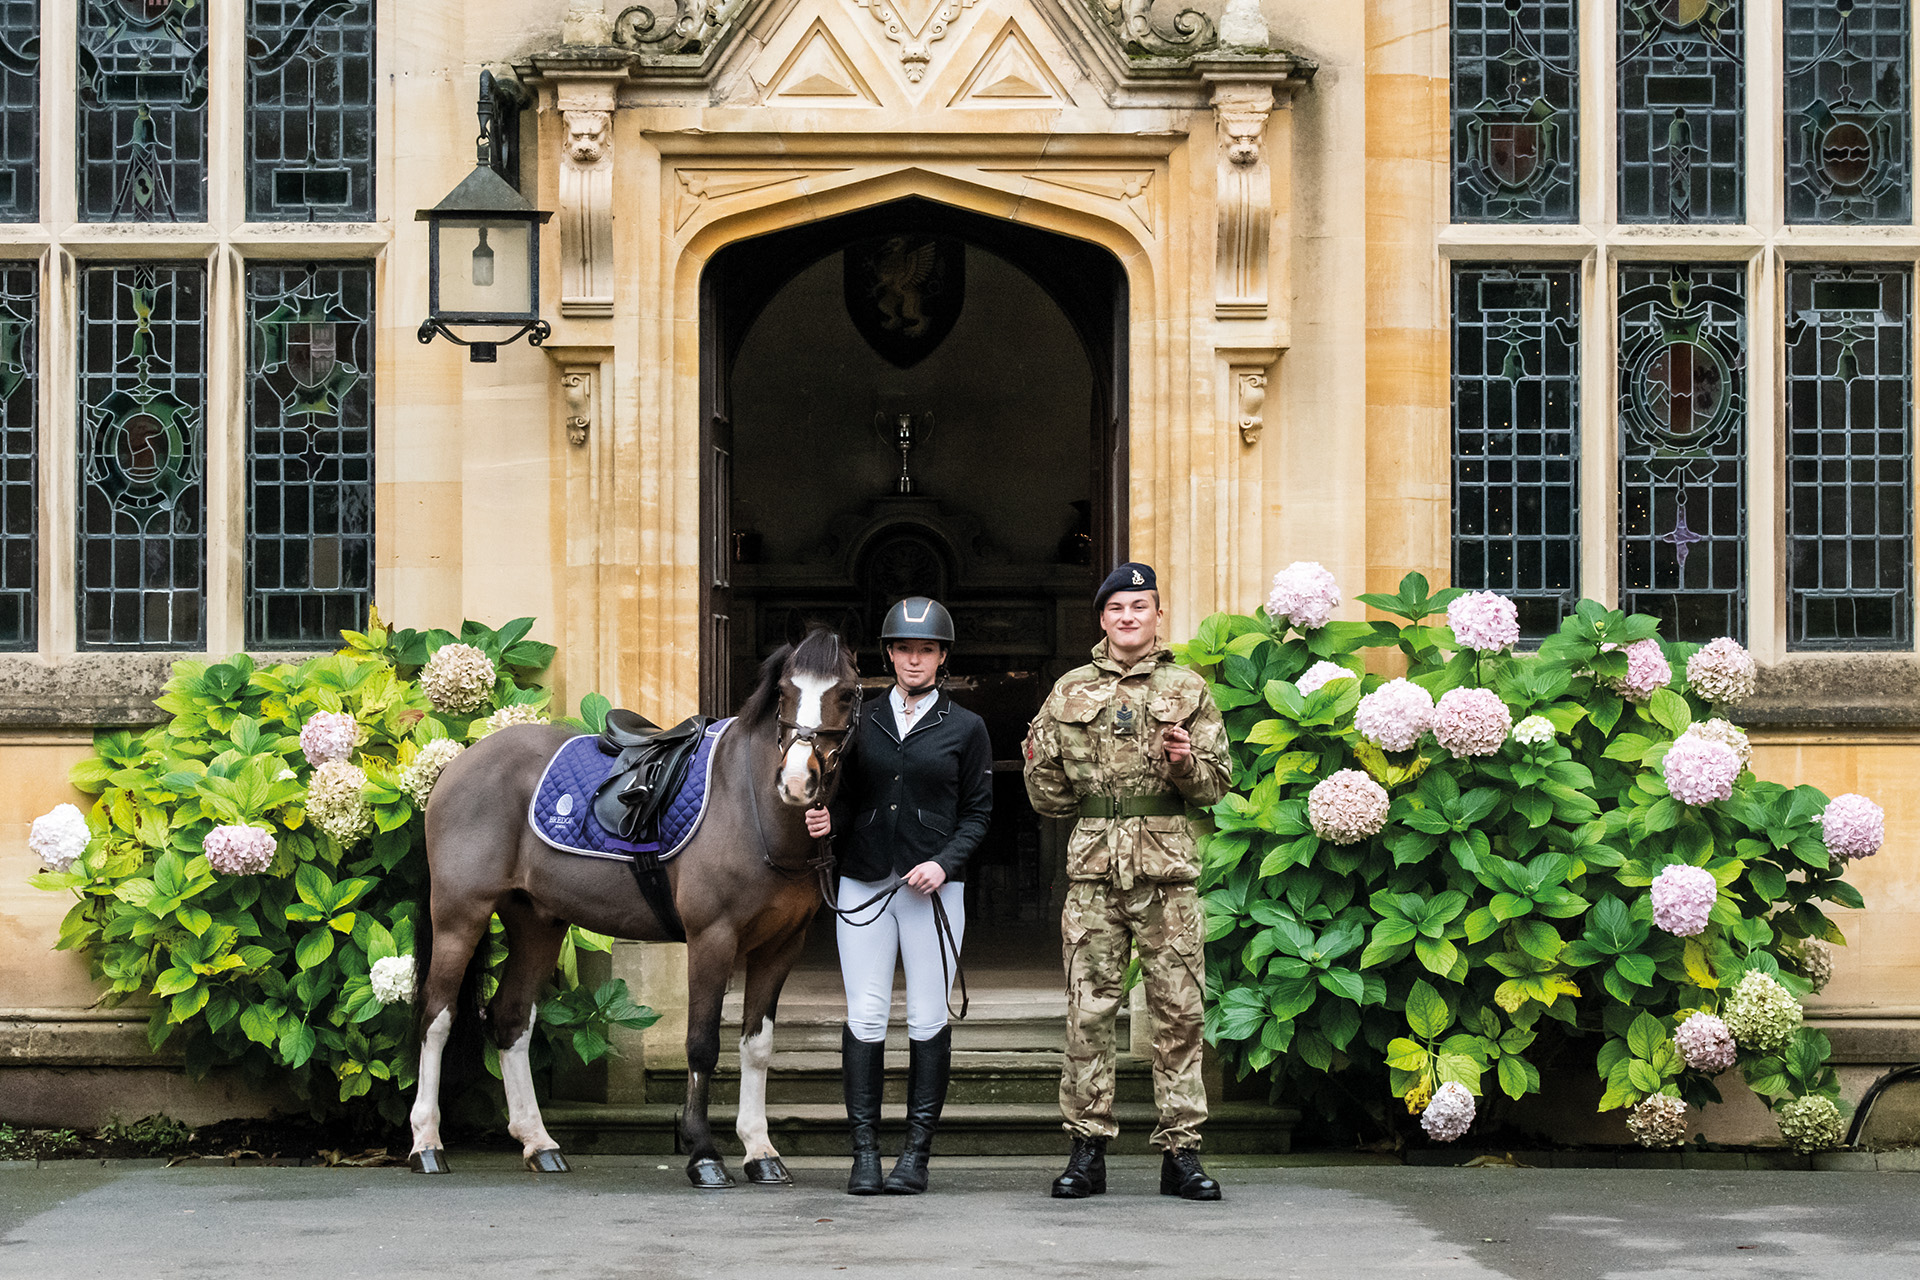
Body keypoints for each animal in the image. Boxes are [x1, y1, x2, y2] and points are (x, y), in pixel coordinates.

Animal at [412, 629, 864, 1189]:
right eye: (783, 691)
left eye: (845, 693)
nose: (798, 781)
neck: (750, 806)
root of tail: (455, 763)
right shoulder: (712, 938)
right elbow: (702, 1043)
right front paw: (704, 1154)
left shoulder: (781, 945)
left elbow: (756, 1047)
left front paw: (761, 1152)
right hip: (460, 915)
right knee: (437, 1015)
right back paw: (427, 1145)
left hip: (538, 920)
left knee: (511, 1017)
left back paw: (540, 1144)